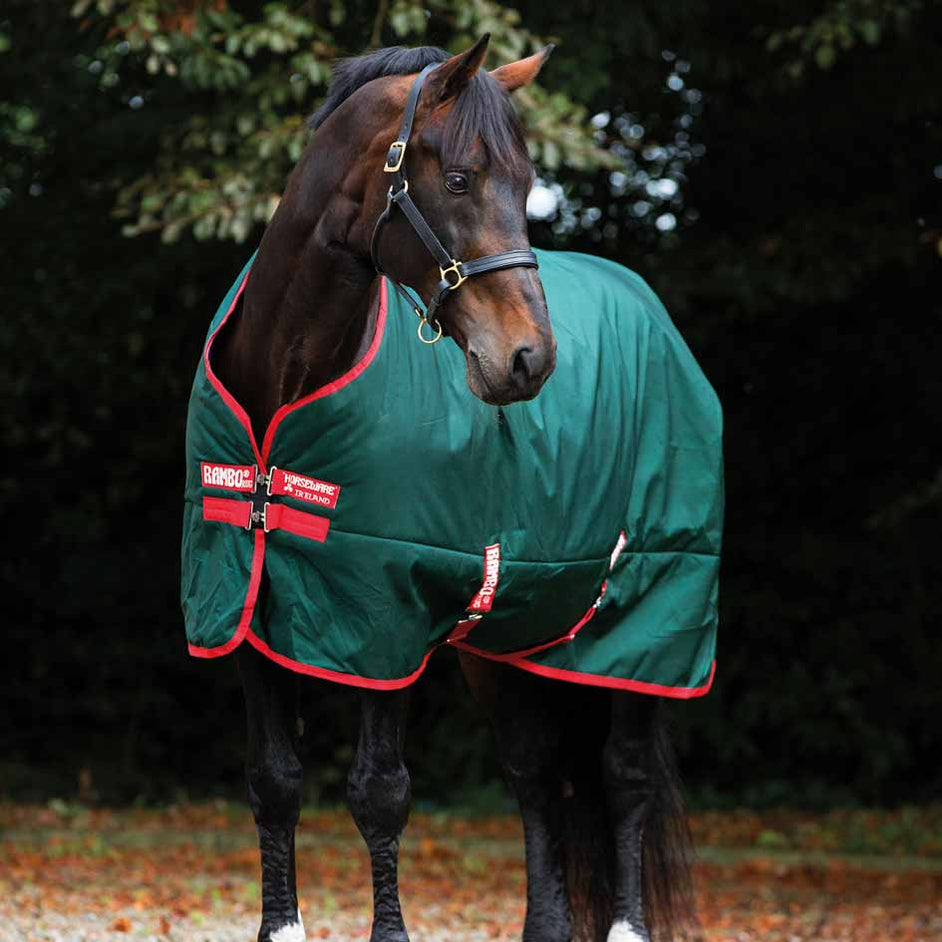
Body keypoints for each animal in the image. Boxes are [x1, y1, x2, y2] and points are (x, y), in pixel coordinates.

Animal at [182, 35, 723, 942]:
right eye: (463, 178)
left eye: (527, 181)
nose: (530, 360)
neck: (284, 388)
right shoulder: (246, 608)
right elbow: (275, 782)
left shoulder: (384, 621)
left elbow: (380, 794)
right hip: (514, 639)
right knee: (537, 773)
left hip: (650, 621)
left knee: (624, 776)